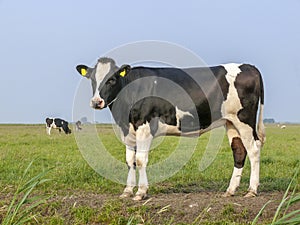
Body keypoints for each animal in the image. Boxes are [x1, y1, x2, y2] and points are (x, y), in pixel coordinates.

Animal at [75, 57, 264, 200]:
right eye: (93, 80)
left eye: (112, 80)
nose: (96, 102)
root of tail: (249, 66)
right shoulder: (128, 130)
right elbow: (130, 160)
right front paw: (127, 191)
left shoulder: (144, 127)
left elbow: (140, 160)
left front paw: (141, 192)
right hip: (230, 122)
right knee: (239, 151)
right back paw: (230, 190)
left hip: (244, 119)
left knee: (254, 149)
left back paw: (252, 190)